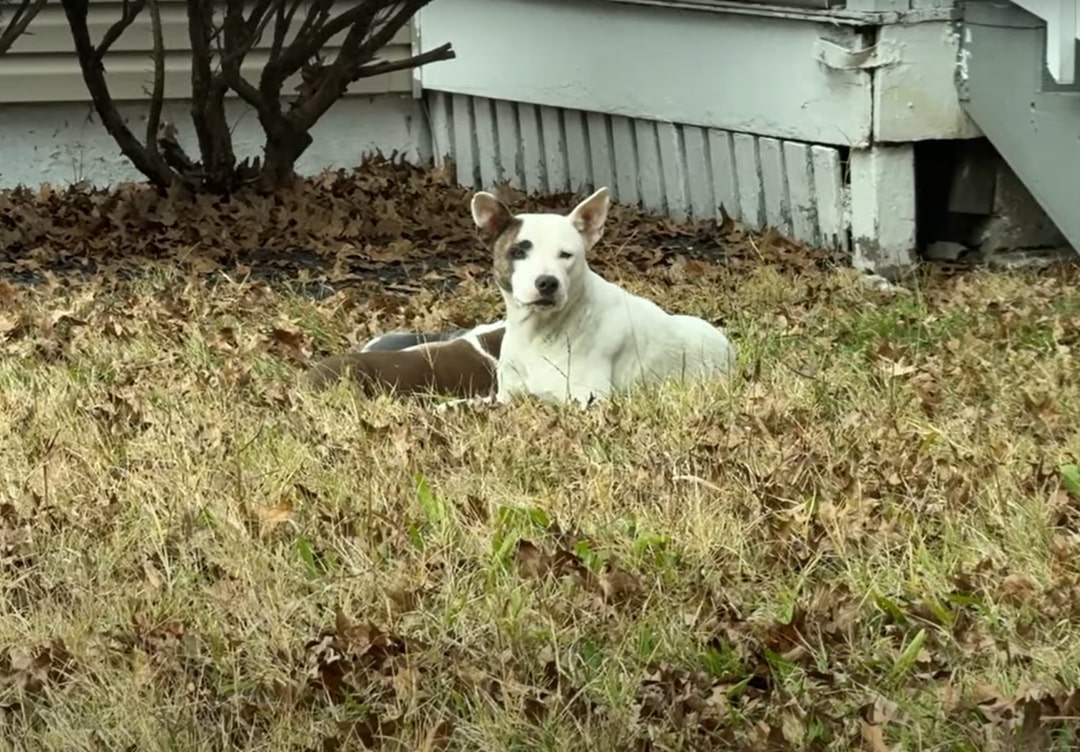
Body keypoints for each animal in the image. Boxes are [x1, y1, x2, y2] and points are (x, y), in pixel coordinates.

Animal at [468, 184, 738, 406]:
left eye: (566, 255)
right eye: (517, 252)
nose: (547, 283)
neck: (538, 332)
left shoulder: (588, 400)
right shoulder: (506, 397)